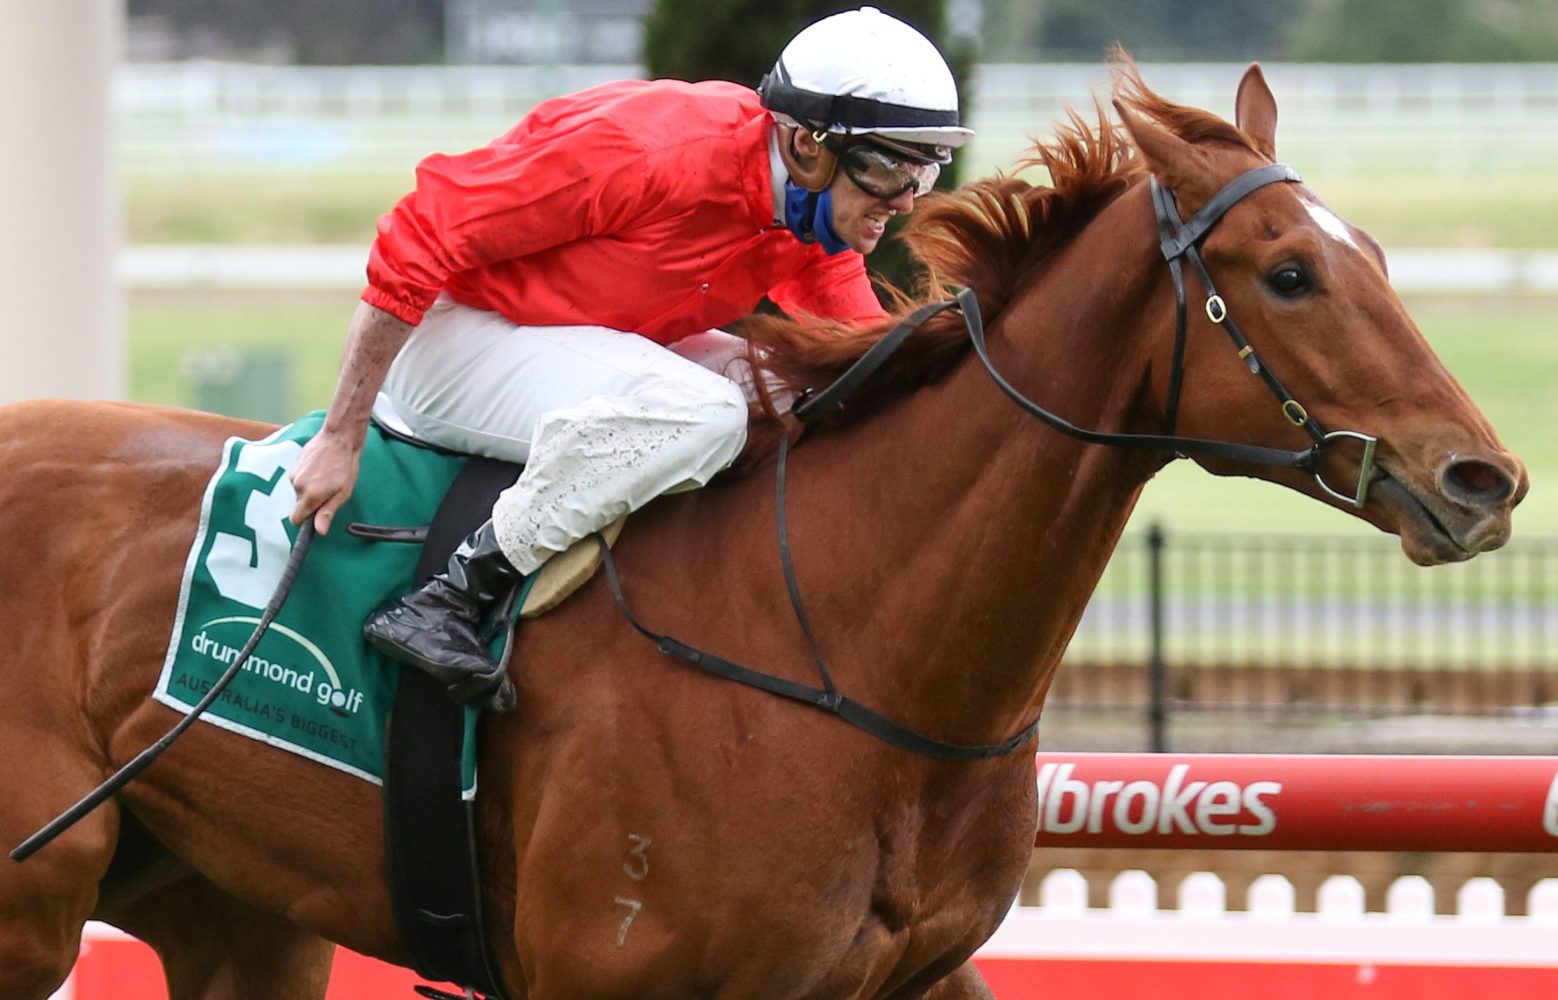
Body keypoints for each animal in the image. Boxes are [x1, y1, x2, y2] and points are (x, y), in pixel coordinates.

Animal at [0, 62, 1526, 999]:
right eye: (1290, 274)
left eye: (1377, 258)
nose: (1483, 479)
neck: (850, 645)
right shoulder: (609, 974)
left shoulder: (915, 973)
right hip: (36, 891)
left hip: (226, 906)